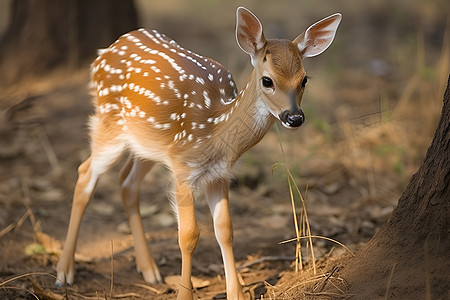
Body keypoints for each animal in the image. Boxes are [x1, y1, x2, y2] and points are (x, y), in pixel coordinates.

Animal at [55, 6, 342, 300]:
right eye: (267, 80)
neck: (214, 132)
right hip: (108, 124)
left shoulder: (219, 175)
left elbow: (225, 229)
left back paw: (149, 270)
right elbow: (189, 236)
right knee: (85, 174)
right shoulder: (183, 168)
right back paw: (64, 273)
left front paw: (237, 294)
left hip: (148, 144)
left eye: (304, 79)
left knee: (127, 182)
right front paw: (185, 294)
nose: (294, 117)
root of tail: (105, 51)